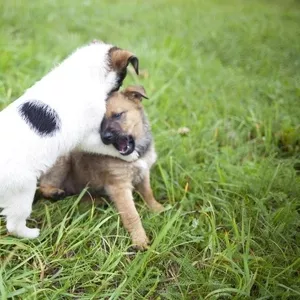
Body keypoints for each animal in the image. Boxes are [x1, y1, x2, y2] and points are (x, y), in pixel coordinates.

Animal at [0, 40, 141, 239]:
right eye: (121, 80)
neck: (80, 74)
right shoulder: (89, 137)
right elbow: (107, 146)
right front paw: (130, 155)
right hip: (22, 190)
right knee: (14, 224)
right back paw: (33, 234)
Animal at [39, 85, 164, 250]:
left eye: (117, 115)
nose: (105, 137)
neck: (137, 154)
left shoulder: (144, 173)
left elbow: (148, 192)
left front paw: (157, 209)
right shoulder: (119, 186)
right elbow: (132, 215)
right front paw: (140, 240)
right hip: (62, 160)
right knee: (43, 185)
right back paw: (55, 193)